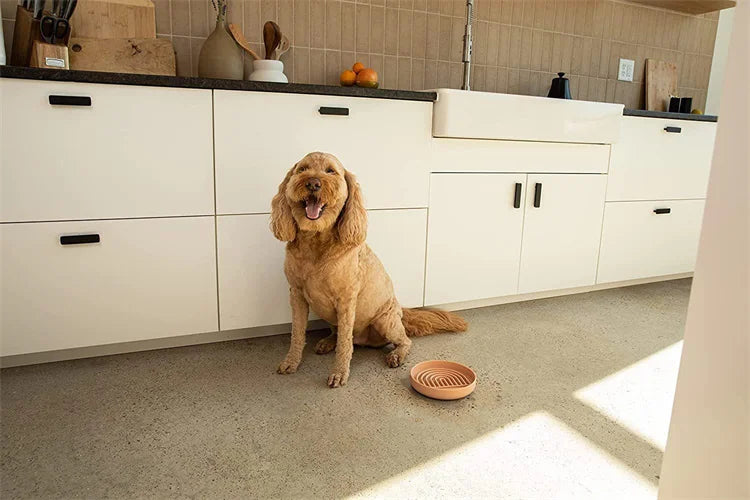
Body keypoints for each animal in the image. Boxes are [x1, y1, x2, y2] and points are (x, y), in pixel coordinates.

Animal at [270, 152, 470, 386]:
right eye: (302, 169)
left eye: (331, 171)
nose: (313, 183)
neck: (316, 244)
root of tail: (402, 311)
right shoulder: (296, 295)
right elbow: (297, 333)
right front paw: (291, 362)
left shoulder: (346, 301)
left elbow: (345, 344)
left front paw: (339, 373)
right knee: (338, 334)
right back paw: (328, 341)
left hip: (384, 321)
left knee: (405, 340)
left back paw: (396, 355)